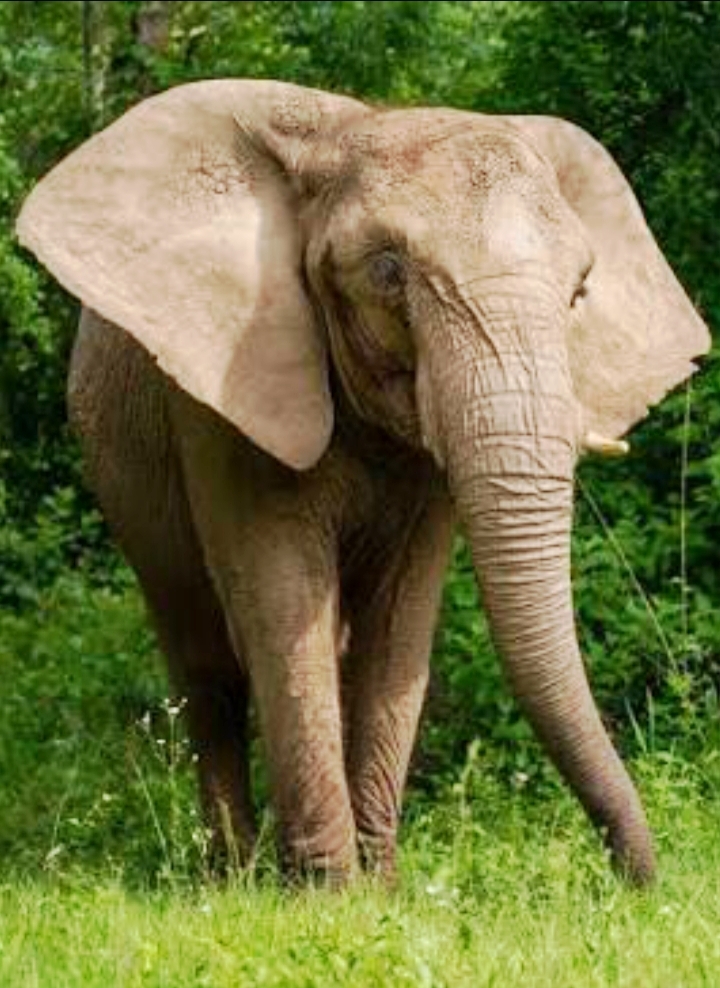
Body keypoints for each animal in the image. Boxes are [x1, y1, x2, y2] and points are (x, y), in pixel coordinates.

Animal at [16, 79, 710, 886]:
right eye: (386, 272)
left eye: (579, 292)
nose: (636, 883)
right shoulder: (226, 396)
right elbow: (282, 599)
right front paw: (327, 895)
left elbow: (400, 620)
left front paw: (378, 888)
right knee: (205, 662)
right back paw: (231, 875)